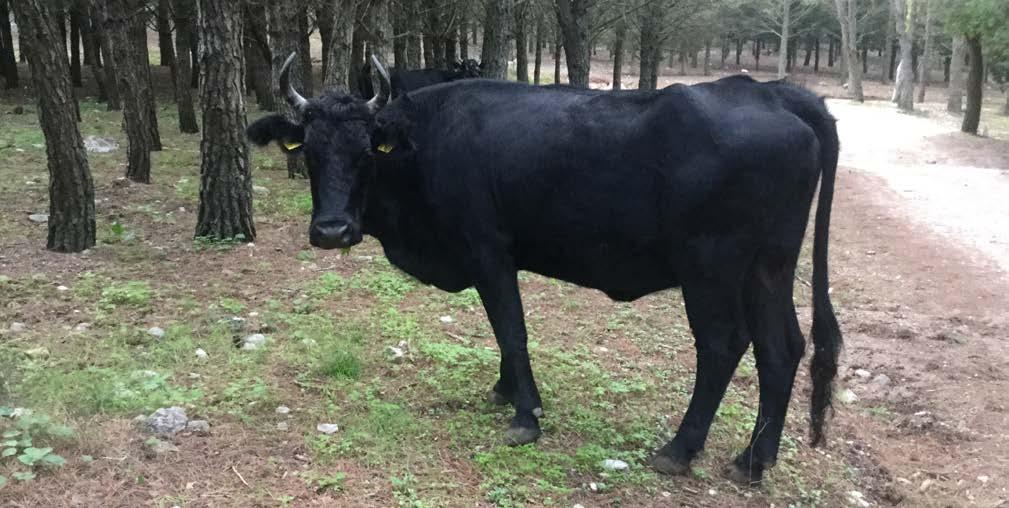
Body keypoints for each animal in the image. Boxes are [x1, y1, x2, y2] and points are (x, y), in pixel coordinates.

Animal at [250, 53, 843, 486]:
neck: (427, 141)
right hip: (769, 265)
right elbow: (502, 332)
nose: (332, 231)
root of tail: (772, 92)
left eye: (365, 152)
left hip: (710, 267)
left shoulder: (488, 249)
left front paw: (525, 415)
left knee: (723, 345)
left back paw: (679, 449)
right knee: (782, 347)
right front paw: (505, 389)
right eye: (309, 153)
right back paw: (754, 460)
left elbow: (511, 329)